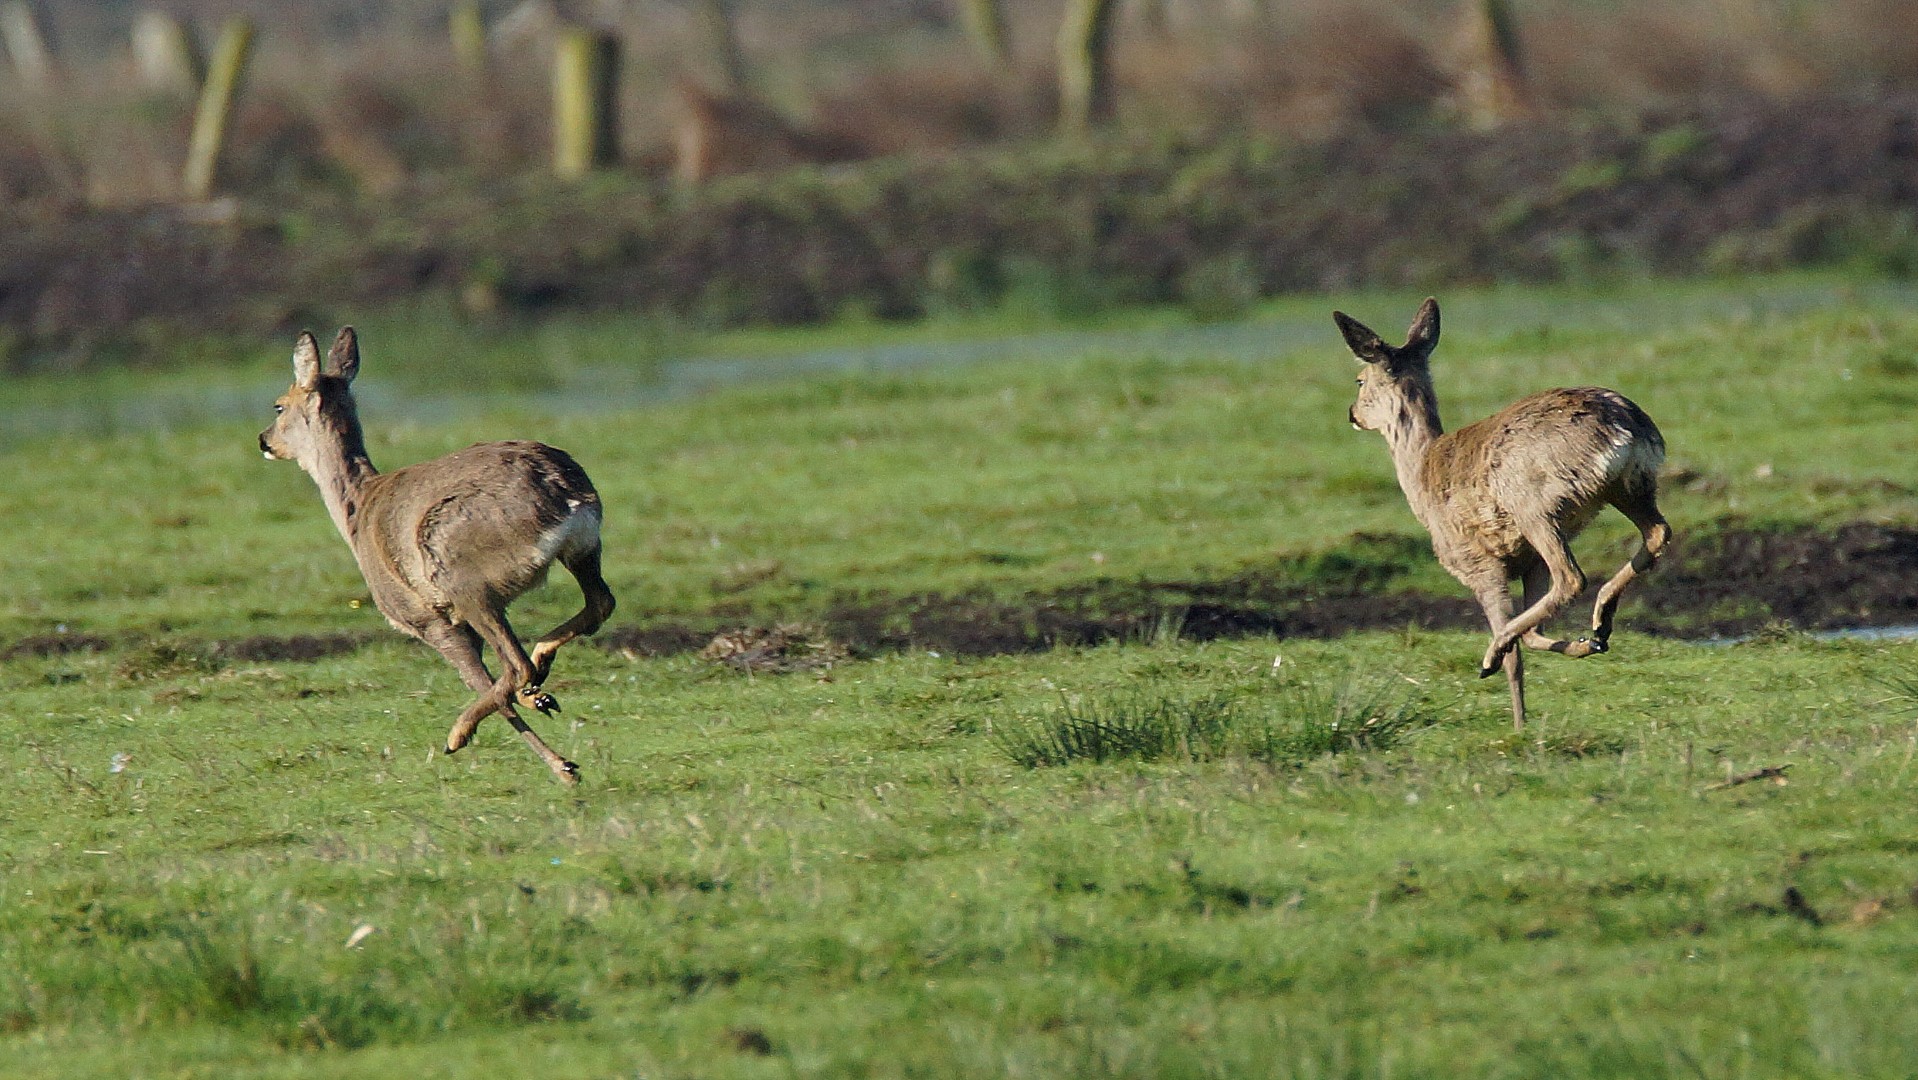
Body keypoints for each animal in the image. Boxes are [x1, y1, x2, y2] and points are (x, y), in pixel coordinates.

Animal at [259, 327, 616, 784]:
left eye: (279, 405)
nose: (264, 440)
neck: (359, 510)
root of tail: (564, 491)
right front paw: (543, 709)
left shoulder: (426, 618)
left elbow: (476, 679)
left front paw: (563, 766)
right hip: (583, 549)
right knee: (598, 604)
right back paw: (539, 679)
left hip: (463, 575)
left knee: (515, 663)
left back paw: (462, 731)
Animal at [1334, 298, 1672, 729]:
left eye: (1359, 380)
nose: (1351, 413)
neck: (1423, 472)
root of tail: (1625, 426)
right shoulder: (1527, 561)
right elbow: (1533, 630)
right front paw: (1581, 644)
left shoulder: (1478, 564)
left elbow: (1517, 655)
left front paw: (1517, 722)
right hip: (1631, 486)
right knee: (1656, 533)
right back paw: (1599, 627)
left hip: (1534, 504)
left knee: (1571, 577)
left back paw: (1494, 653)